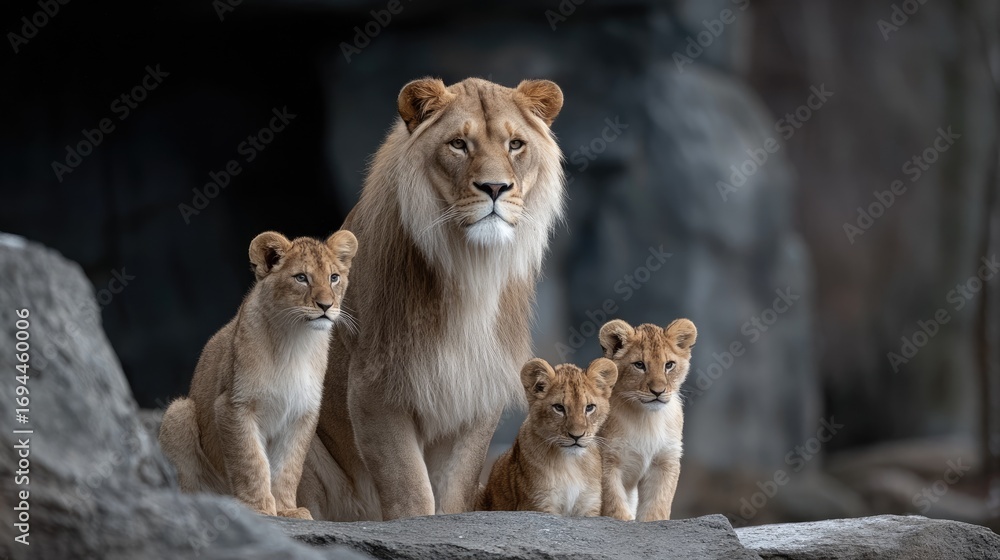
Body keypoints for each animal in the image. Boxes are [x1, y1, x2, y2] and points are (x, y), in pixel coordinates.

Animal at [158, 230, 358, 519]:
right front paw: (259, 508)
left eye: (334, 277)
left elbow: (288, 467)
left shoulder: (302, 414)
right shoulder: (233, 405)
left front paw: (286, 509)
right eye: (301, 277)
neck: (296, 341)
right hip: (178, 412)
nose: (326, 305)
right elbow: (251, 460)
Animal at [297, 77, 565, 521]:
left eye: (515, 145)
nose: (495, 187)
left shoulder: (476, 385)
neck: (470, 268)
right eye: (458, 144)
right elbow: (409, 487)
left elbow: (455, 486)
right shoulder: (374, 386)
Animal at [478, 358, 618, 516]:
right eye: (559, 408)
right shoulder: (539, 502)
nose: (576, 436)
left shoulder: (589, 504)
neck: (571, 463)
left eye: (589, 407)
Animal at [597, 318, 698, 521]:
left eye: (669, 365)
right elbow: (614, 503)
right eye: (639, 365)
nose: (658, 391)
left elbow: (657, 504)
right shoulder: (607, 460)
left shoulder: (665, 460)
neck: (647, 418)